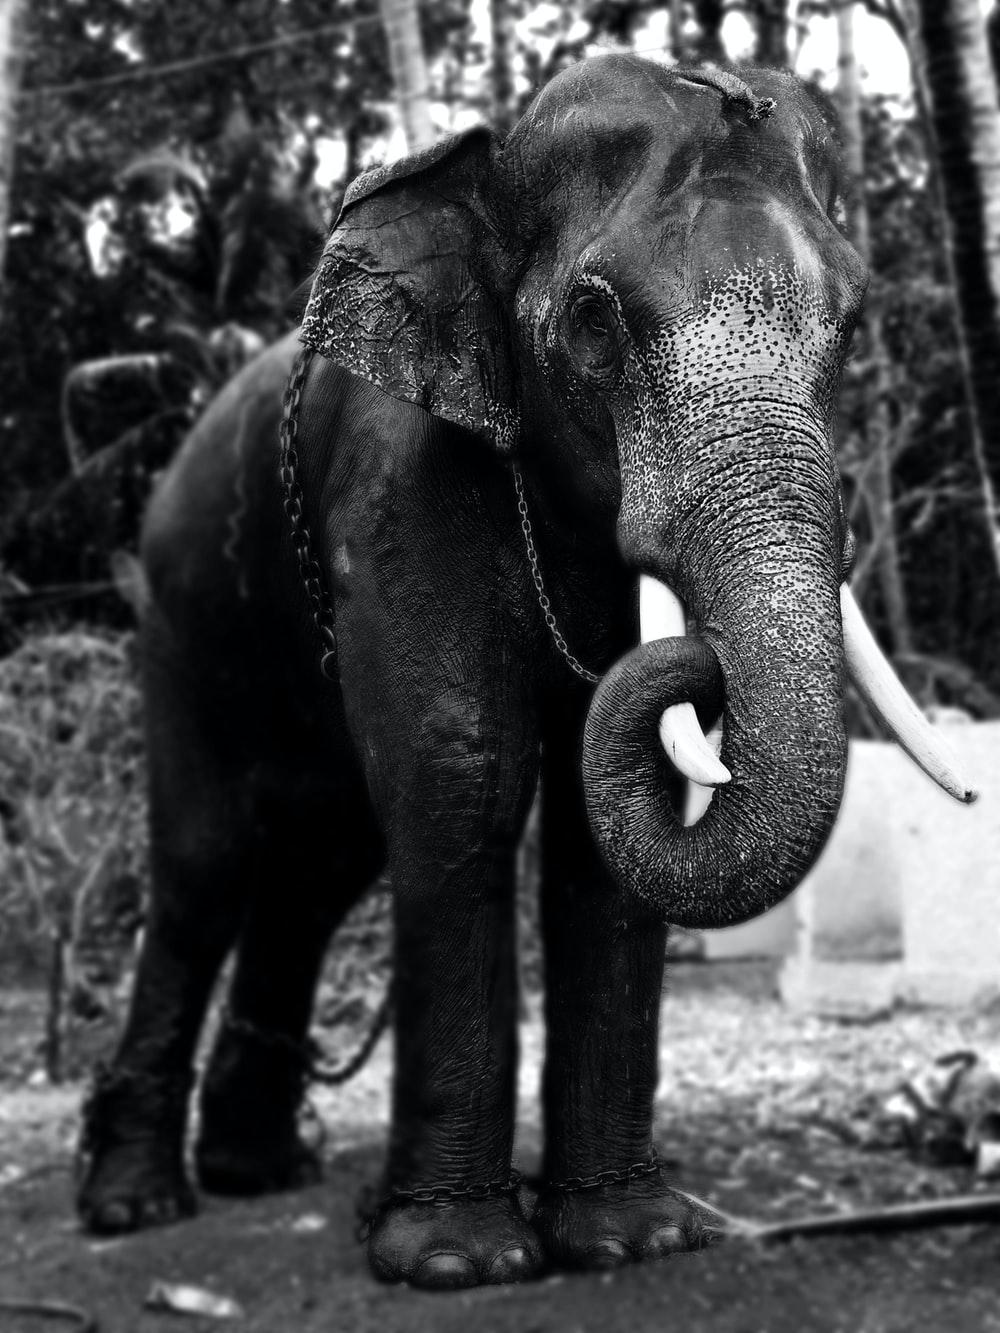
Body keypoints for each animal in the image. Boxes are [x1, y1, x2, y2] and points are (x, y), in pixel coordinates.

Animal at [76, 55, 973, 1290]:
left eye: (850, 325)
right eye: (594, 322)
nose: (697, 666)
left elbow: (605, 826)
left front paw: (633, 1241)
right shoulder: (396, 490)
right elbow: (464, 775)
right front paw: (458, 1263)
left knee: (319, 865)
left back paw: (261, 1170)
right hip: (181, 613)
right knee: (206, 863)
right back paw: (137, 1204)